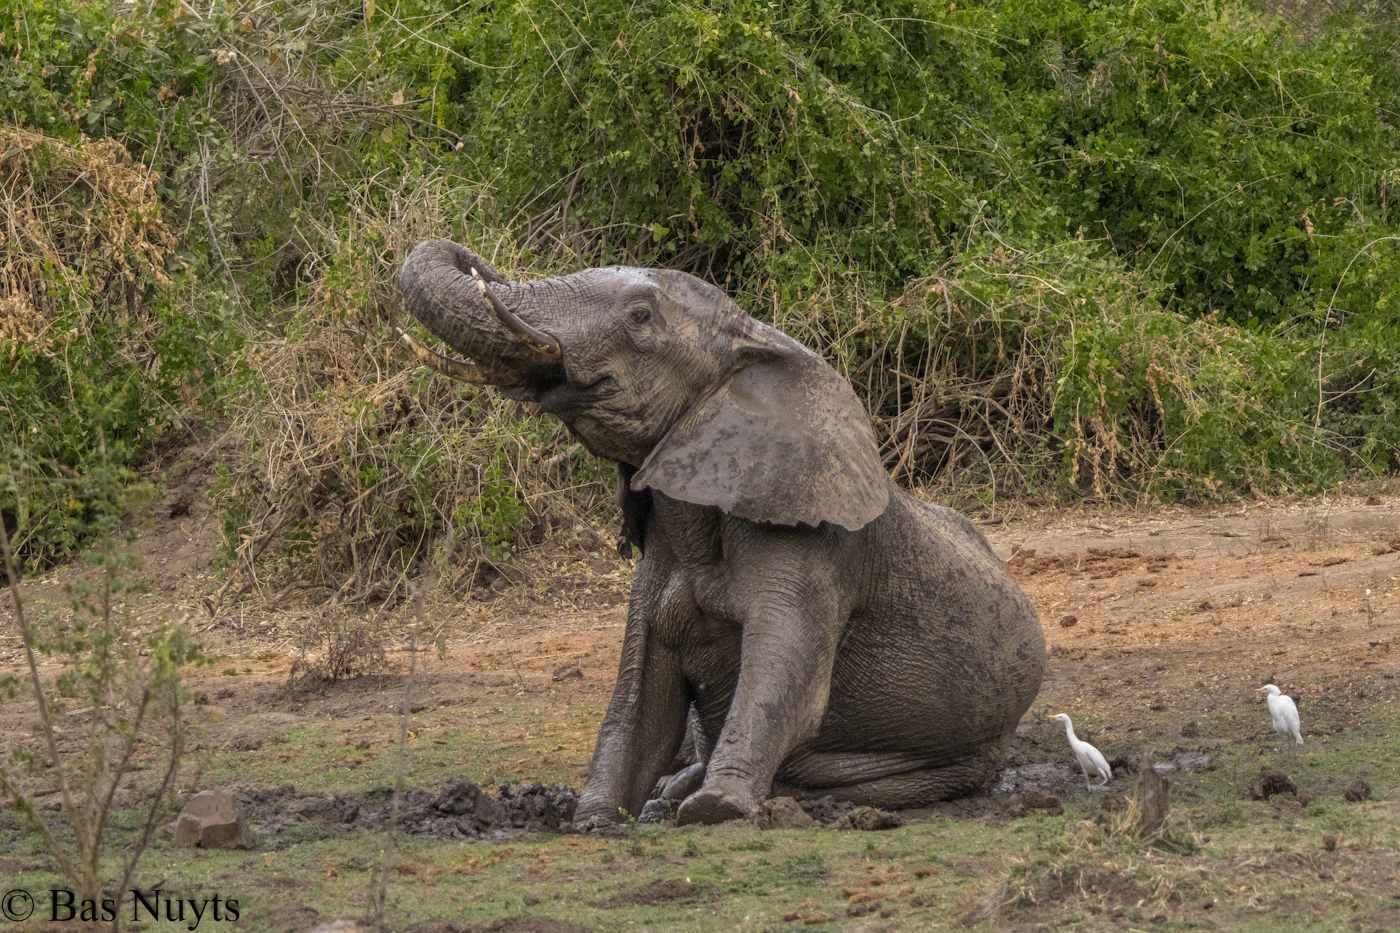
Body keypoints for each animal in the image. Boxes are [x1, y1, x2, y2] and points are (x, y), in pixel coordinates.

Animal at [397, 239, 1046, 826]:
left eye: (640, 317)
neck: (754, 340)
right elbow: (643, 701)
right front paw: (594, 822)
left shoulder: (816, 551)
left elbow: (783, 680)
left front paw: (716, 810)